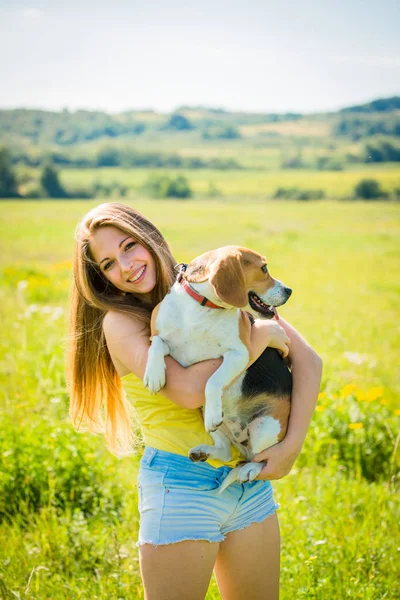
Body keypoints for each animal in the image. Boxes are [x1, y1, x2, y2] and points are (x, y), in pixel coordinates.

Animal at [144, 246, 290, 490]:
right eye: (264, 268)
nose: (289, 290)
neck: (202, 309)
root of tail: (241, 440)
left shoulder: (239, 354)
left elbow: (213, 381)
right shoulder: (161, 339)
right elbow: (156, 344)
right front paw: (154, 375)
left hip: (264, 426)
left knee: (263, 460)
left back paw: (249, 469)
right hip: (209, 417)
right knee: (224, 451)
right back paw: (203, 452)